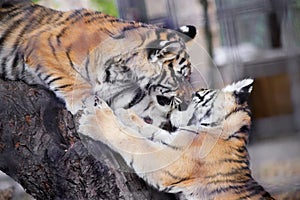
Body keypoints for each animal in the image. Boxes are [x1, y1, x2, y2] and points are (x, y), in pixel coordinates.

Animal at [0, 0, 197, 127]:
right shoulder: (41, 44)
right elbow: (73, 80)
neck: (122, 74)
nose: (187, 101)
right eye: (180, 76)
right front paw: (86, 103)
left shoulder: (123, 94)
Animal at [79, 79, 274, 200]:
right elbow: (150, 131)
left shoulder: (166, 161)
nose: (193, 92)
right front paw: (125, 114)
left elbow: (131, 140)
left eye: (199, 95)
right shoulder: (172, 140)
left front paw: (94, 121)